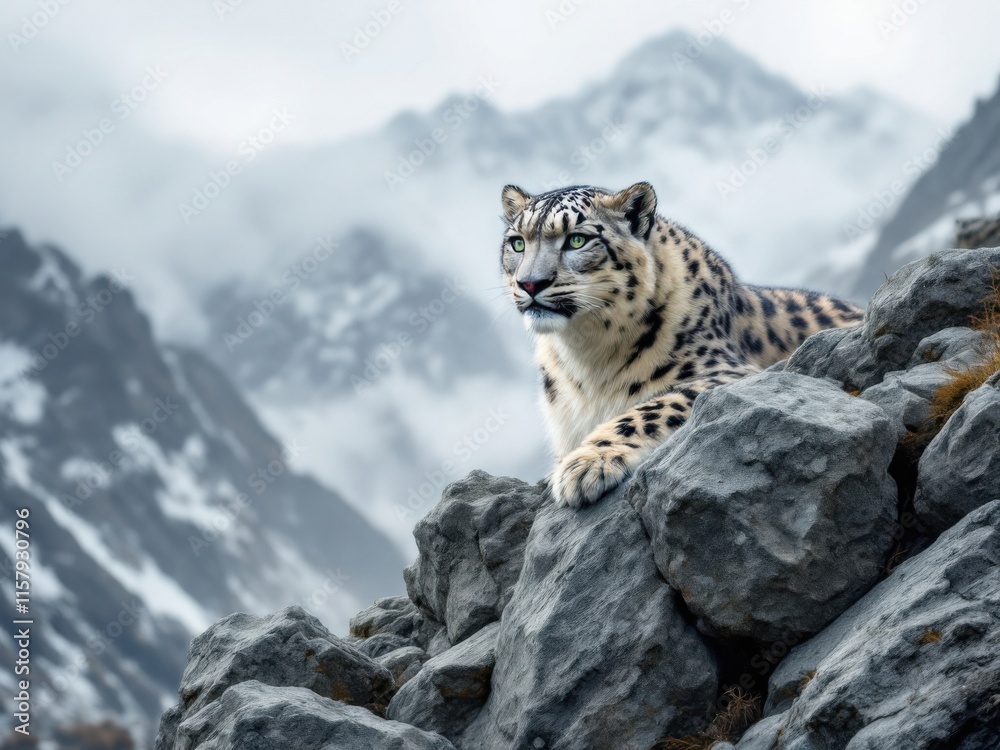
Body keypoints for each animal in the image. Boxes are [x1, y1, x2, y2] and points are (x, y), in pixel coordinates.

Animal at [499, 181, 865, 509]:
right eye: (517, 244)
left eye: (577, 239)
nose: (530, 283)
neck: (583, 353)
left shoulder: (728, 374)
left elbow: (651, 407)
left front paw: (585, 463)